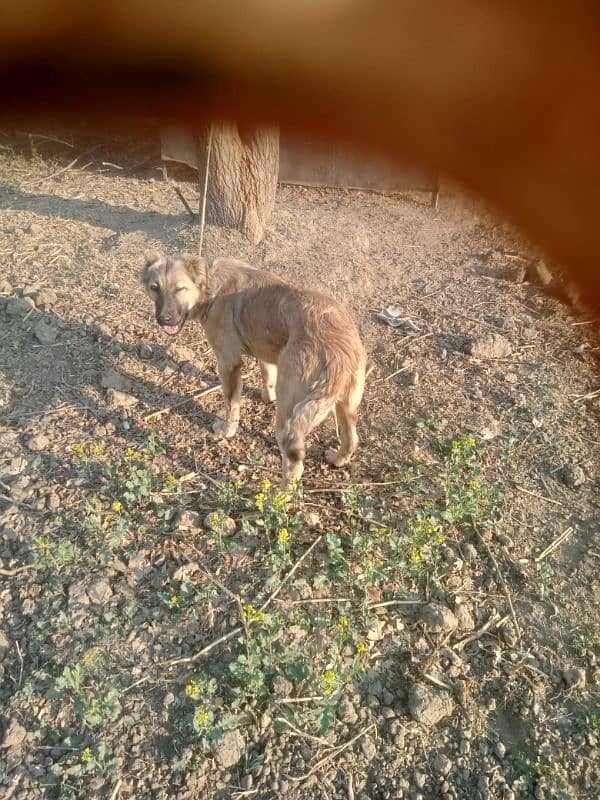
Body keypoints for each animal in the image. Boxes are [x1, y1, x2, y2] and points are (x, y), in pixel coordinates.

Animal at [142, 253, 366, 484]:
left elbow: (231, 406)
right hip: (347, 405)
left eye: (180, 288)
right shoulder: (264, 350)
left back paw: (279, 492)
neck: (210, 285)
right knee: (352, 439)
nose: (164, 319)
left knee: (293, 465)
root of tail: (338, 355)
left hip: (288, 416)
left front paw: (227, 431)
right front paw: (267, 397)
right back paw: (337, 459)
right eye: (154, 287)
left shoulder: (229, 363)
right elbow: (267, 376)